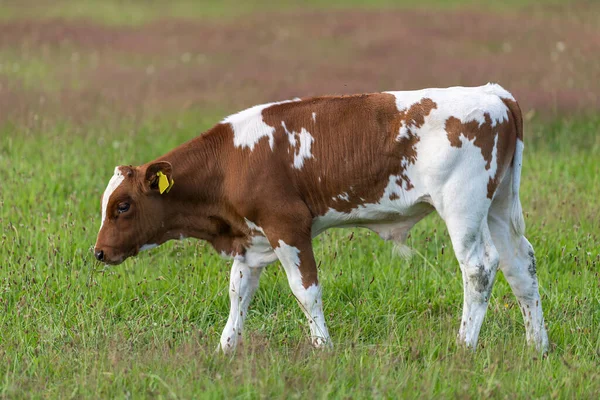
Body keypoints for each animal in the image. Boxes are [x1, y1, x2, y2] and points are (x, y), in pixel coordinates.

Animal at [94, 84, 548, 354]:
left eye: (123, 206)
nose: (98, 252)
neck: (233, 162)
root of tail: (494, 94)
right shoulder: (251, 237)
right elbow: (238, 292)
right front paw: (226, 348)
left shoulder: (288, 226)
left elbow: (306, 290)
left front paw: (322, 347)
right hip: (499, 205)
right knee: (519, 264)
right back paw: (537, 346)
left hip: (462, 206)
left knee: (479, 267)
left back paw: (464, 345)